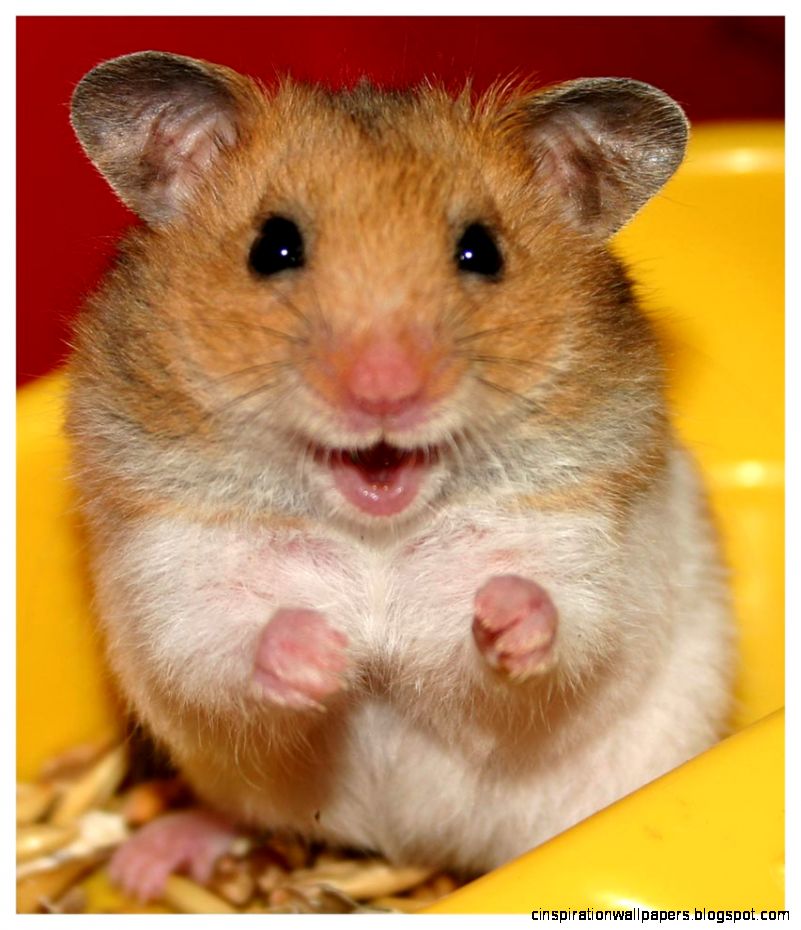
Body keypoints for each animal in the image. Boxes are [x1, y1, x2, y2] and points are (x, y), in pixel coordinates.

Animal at [65, 51, 734, 901]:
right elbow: (217, 640)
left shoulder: (587, 548)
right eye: (271, 247)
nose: (385, 393)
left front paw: (501, 615)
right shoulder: (175, 566)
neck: (375, 532)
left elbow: (566, 619)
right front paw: (324, 652)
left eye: (481, 251)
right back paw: (146, 863)